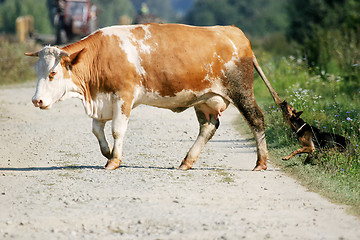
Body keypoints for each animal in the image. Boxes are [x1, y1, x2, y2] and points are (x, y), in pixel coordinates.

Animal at [26, 23, 282, 171]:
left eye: (52, 73)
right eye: (37, 71)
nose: (36, 100)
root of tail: (234, 31)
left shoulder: (124, 97)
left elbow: (117, 130)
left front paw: (114, 160)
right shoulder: (101, 100)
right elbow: (97, 131)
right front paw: (108, 153)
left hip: (241, 91)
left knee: (256, 119)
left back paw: (261, 162)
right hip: (205, 98)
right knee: (208, 127)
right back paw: (187, 161)